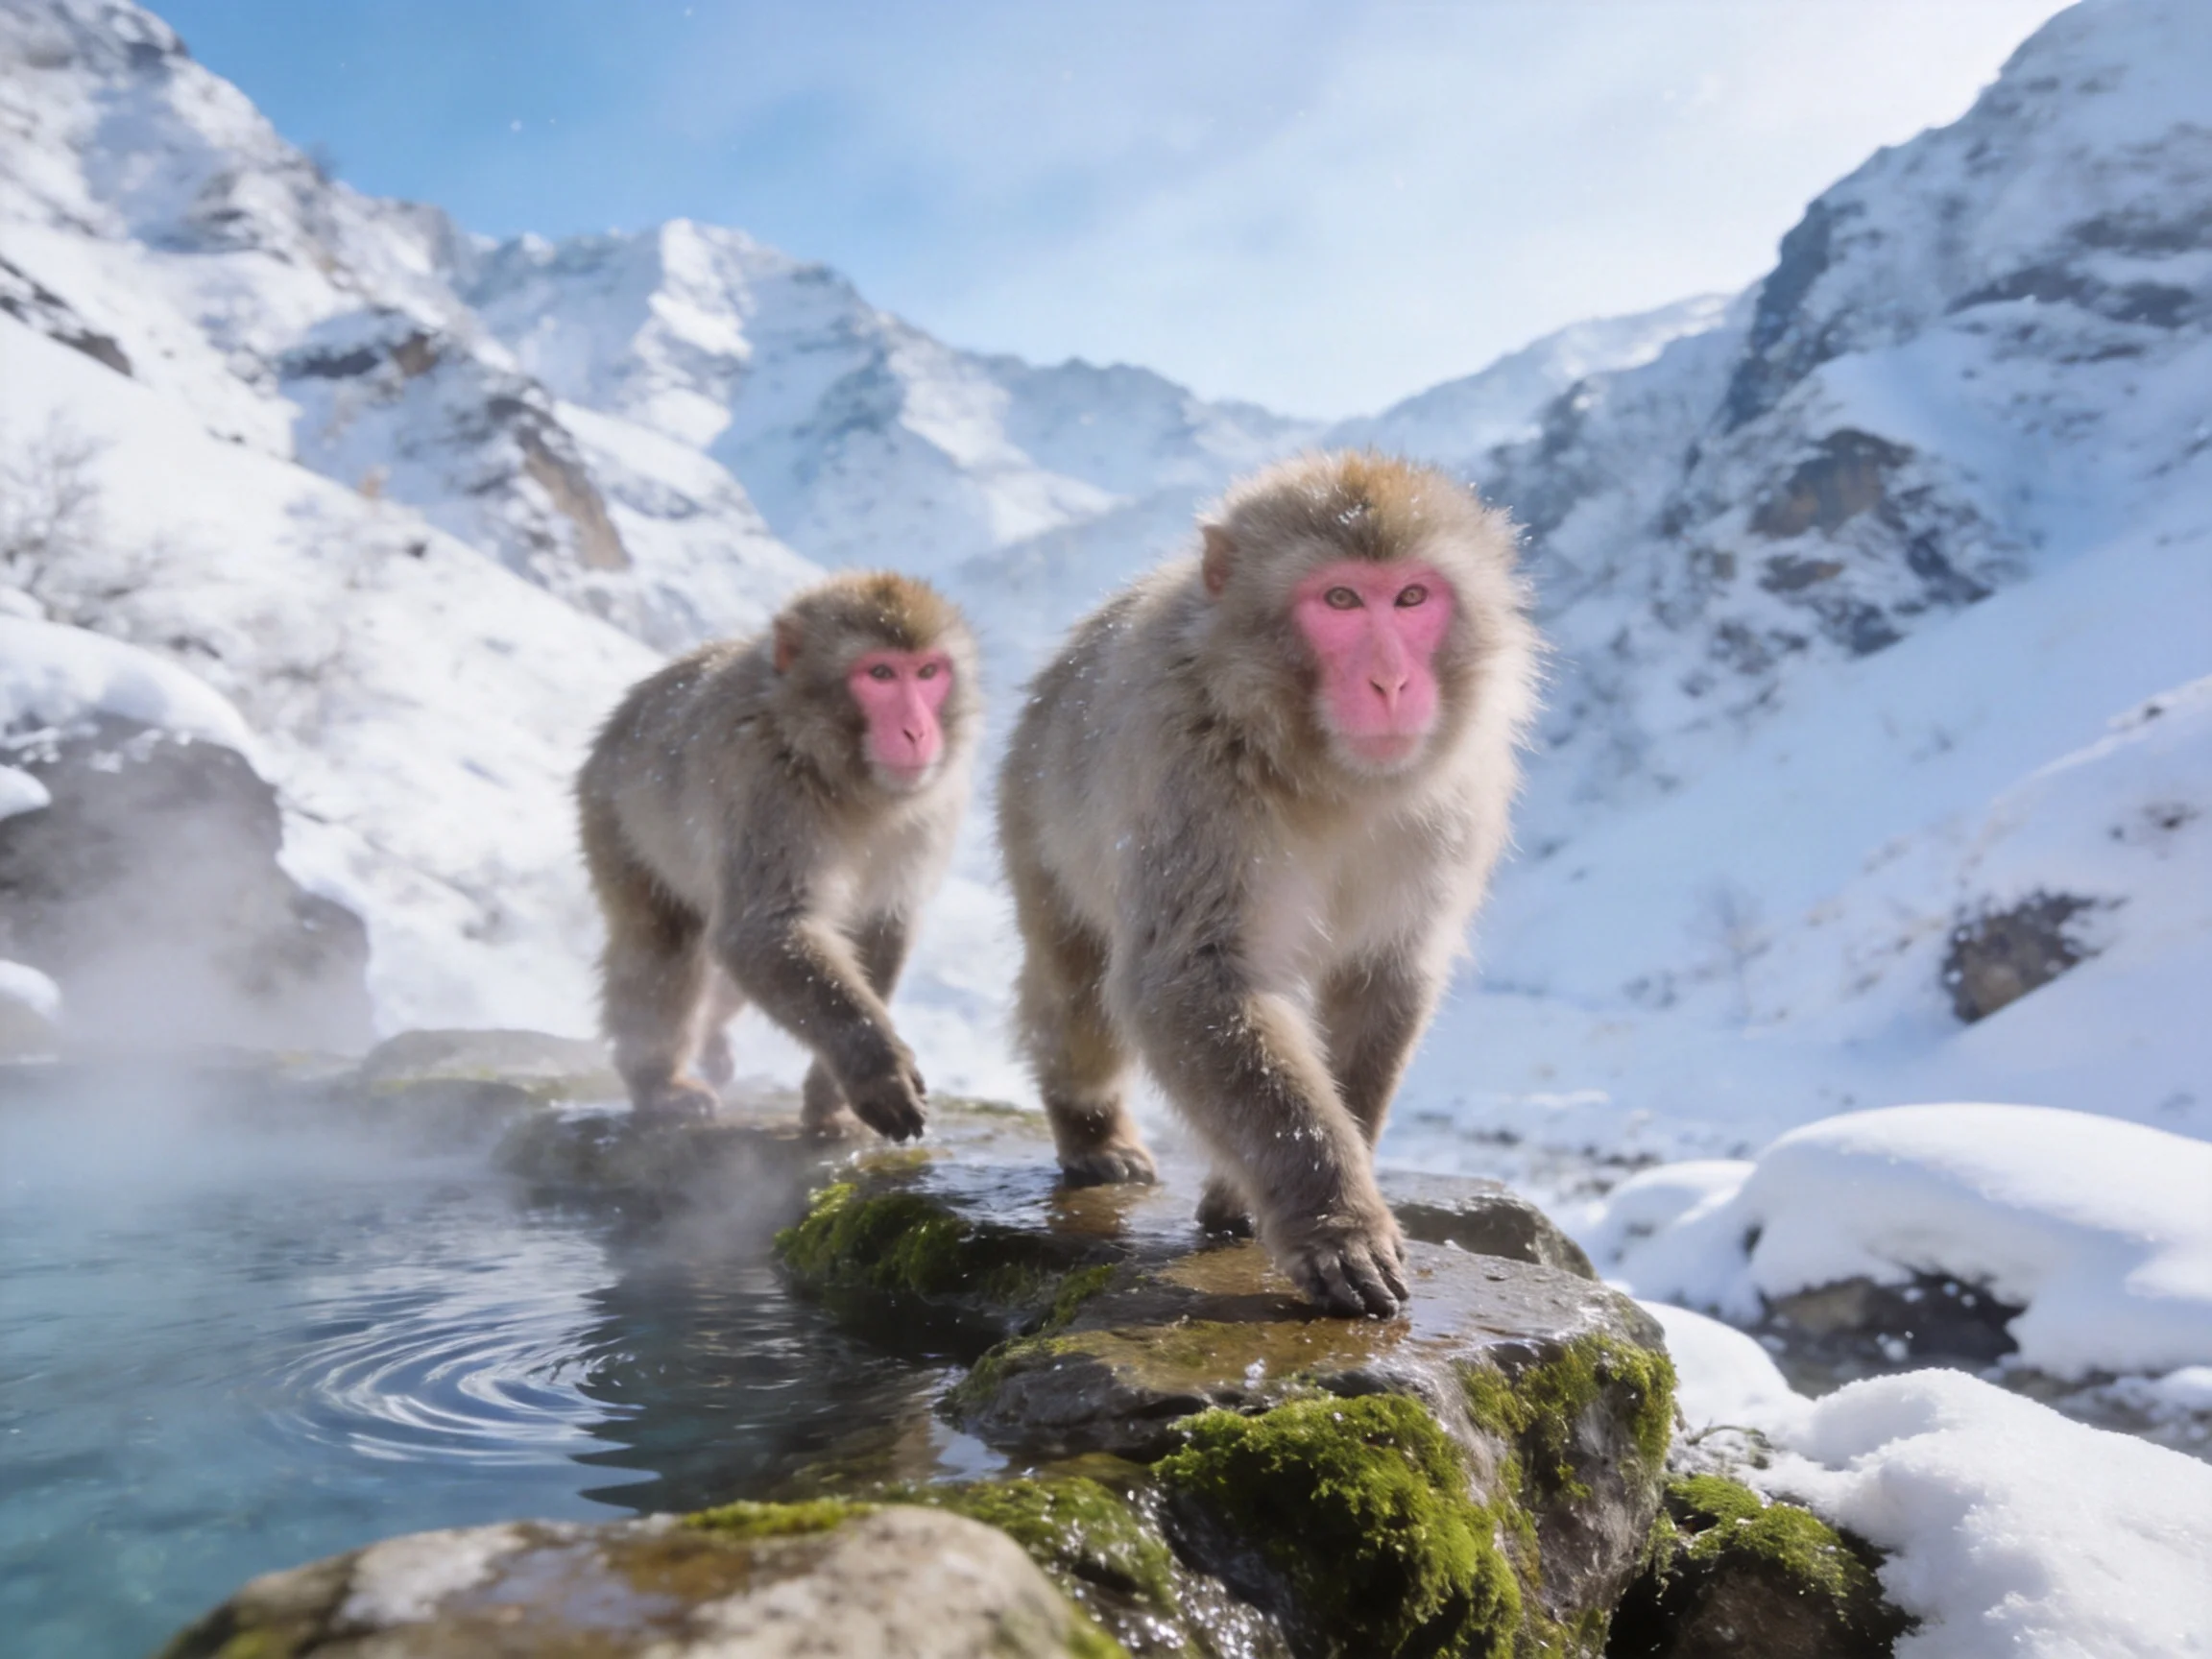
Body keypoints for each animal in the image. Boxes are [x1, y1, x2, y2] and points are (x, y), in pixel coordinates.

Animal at [577, 571, 980, 1136]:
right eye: (880, 674)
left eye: (926, 672)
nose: (918, 732)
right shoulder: (765, 787)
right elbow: (761, 931)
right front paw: (876, 1068)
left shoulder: (934, 806)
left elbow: (878, 925)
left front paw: (829, 1100)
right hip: (612, 818)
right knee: (661, 940)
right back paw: (659, 1081)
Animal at [998, 452, 1539, 1317]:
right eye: (1341, 600)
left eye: (1411, 598)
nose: (1391, 682)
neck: (1326, 774)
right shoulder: (1191, 775)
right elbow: (1191, 977)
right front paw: (1334, 1223)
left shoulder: (1456, 803)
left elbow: (1385, 977)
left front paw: (1246, 1195)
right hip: (1033, 815)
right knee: (1077, 997)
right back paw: (1092, 1129)